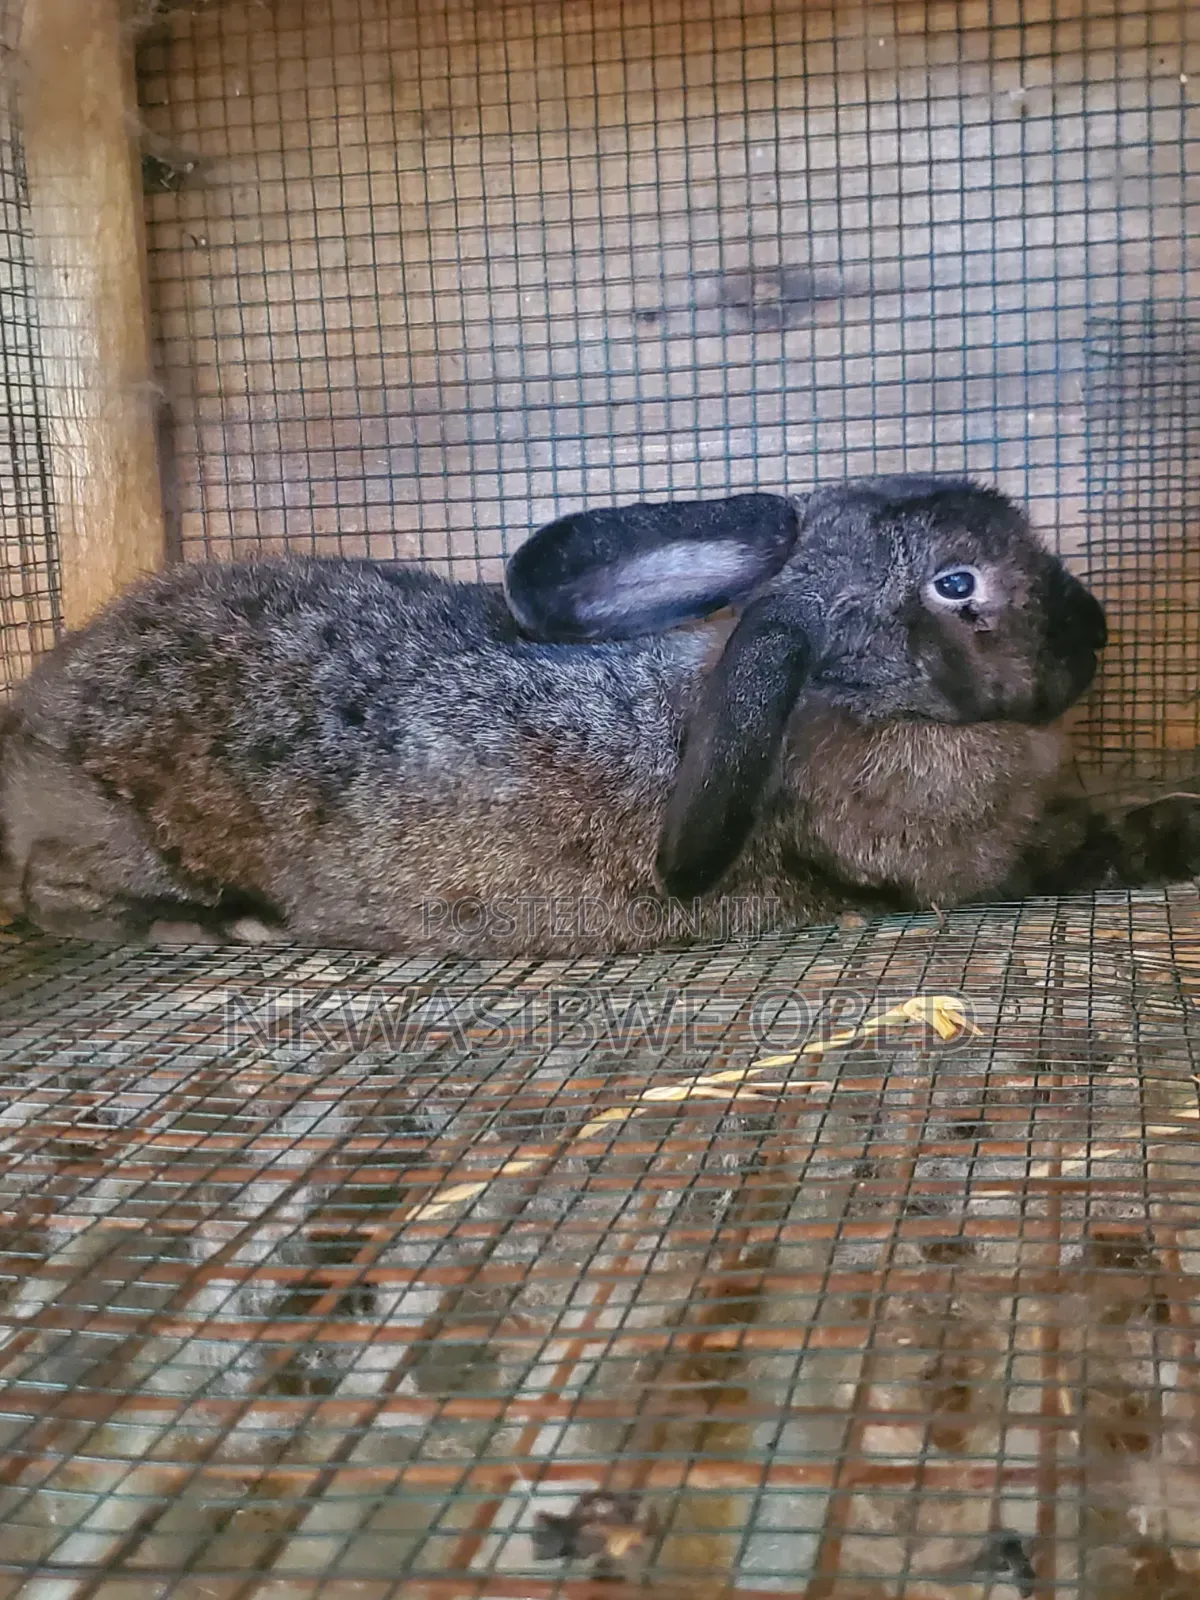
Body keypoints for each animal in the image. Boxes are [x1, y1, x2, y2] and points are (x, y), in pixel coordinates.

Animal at [0, 474, 1196, 959]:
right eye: (959, 585)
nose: (1097, 629)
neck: (845, 693)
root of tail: (29, 723)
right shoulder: (971, 867)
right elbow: (1074, 854)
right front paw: (1170, 831)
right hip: (110, 834)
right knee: (57, 897)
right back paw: (208, 925)